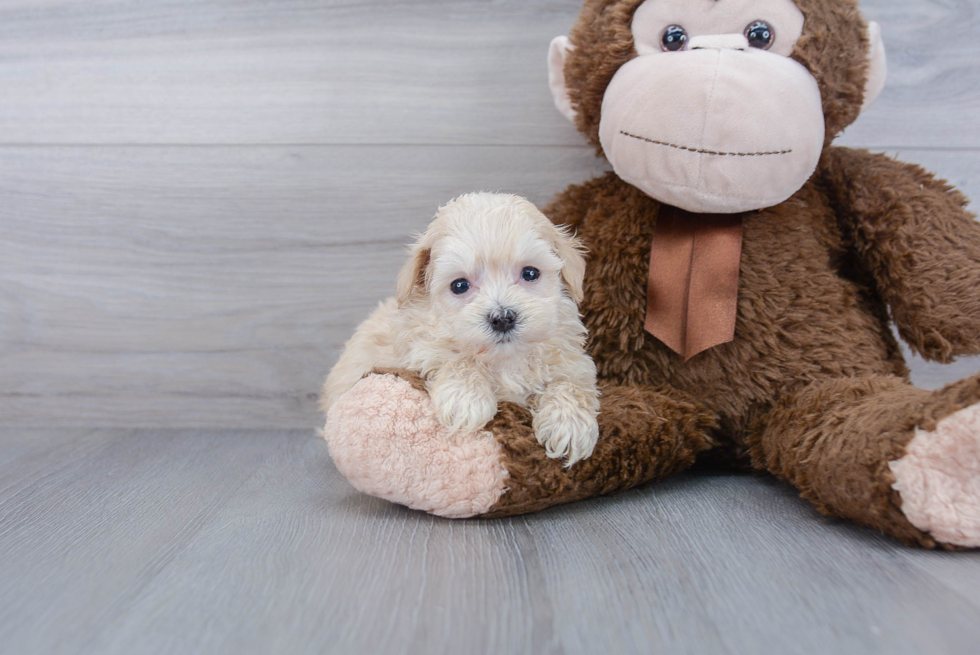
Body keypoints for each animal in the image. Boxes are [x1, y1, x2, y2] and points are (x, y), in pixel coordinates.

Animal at [324, 192, 596, 464]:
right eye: (459, 285)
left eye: (530, 273)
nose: (503, 318)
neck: (504, 360)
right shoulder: (419, 346)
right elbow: (454, 359)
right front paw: (466, 399)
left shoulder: (571, 360)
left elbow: (570, 383)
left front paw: (570, 422)